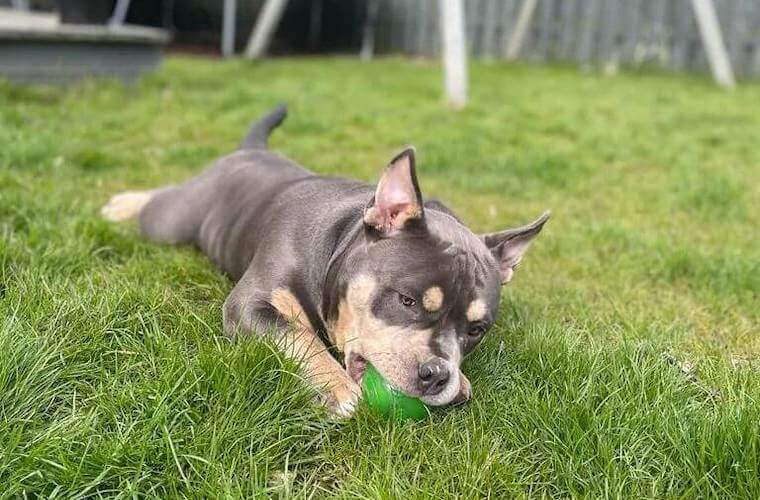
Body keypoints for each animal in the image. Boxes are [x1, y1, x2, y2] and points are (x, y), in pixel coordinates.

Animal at [102, 105, 552, 418]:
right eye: (406, 300)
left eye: (476, 330)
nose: (438, 374)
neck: (341, 239)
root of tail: (250, 150)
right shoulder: (251, 304)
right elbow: (298, 338)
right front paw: (336, 388)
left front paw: (461, 381)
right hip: (171, 220)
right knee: (161, 197)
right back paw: (120, 204)